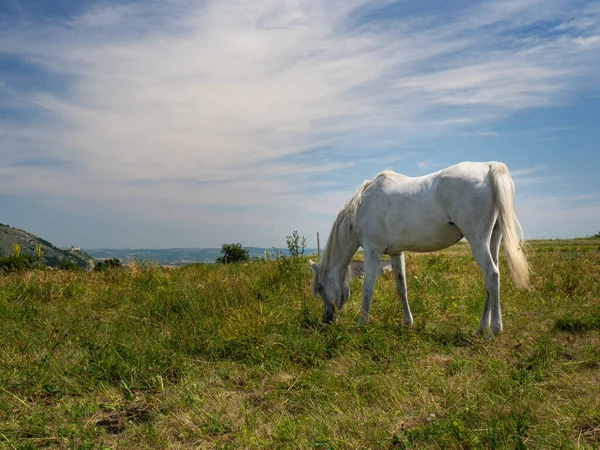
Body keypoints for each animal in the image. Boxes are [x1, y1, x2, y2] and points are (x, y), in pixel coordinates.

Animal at [312, 162, 532, 338]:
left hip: (478, 241)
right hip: (493, 240)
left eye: (320, 288)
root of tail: (489, 167)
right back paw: (481, 328)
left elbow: (368, 288)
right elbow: (401, 287)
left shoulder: (372, 251)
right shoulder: (396, 253)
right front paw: (407, 322)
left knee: (492, 275)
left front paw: (361, 323)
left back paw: (494, 330)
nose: (327, 319)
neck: (361, 207)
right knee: (491, 280)